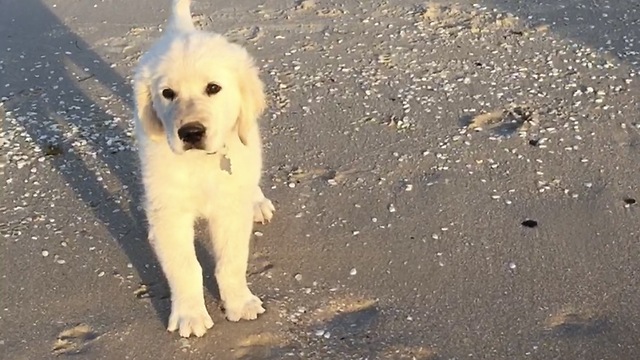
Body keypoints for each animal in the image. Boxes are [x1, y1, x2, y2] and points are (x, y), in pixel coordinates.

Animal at [132, 0, 276, 338]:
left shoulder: (228, 207)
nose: (191, 132)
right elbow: (185, 266)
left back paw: (257, 201)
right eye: (167, 93)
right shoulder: (170, 209)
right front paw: (189, 315)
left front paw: (239, 303)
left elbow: (231, 260)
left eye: (213, 88)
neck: (201, 162)